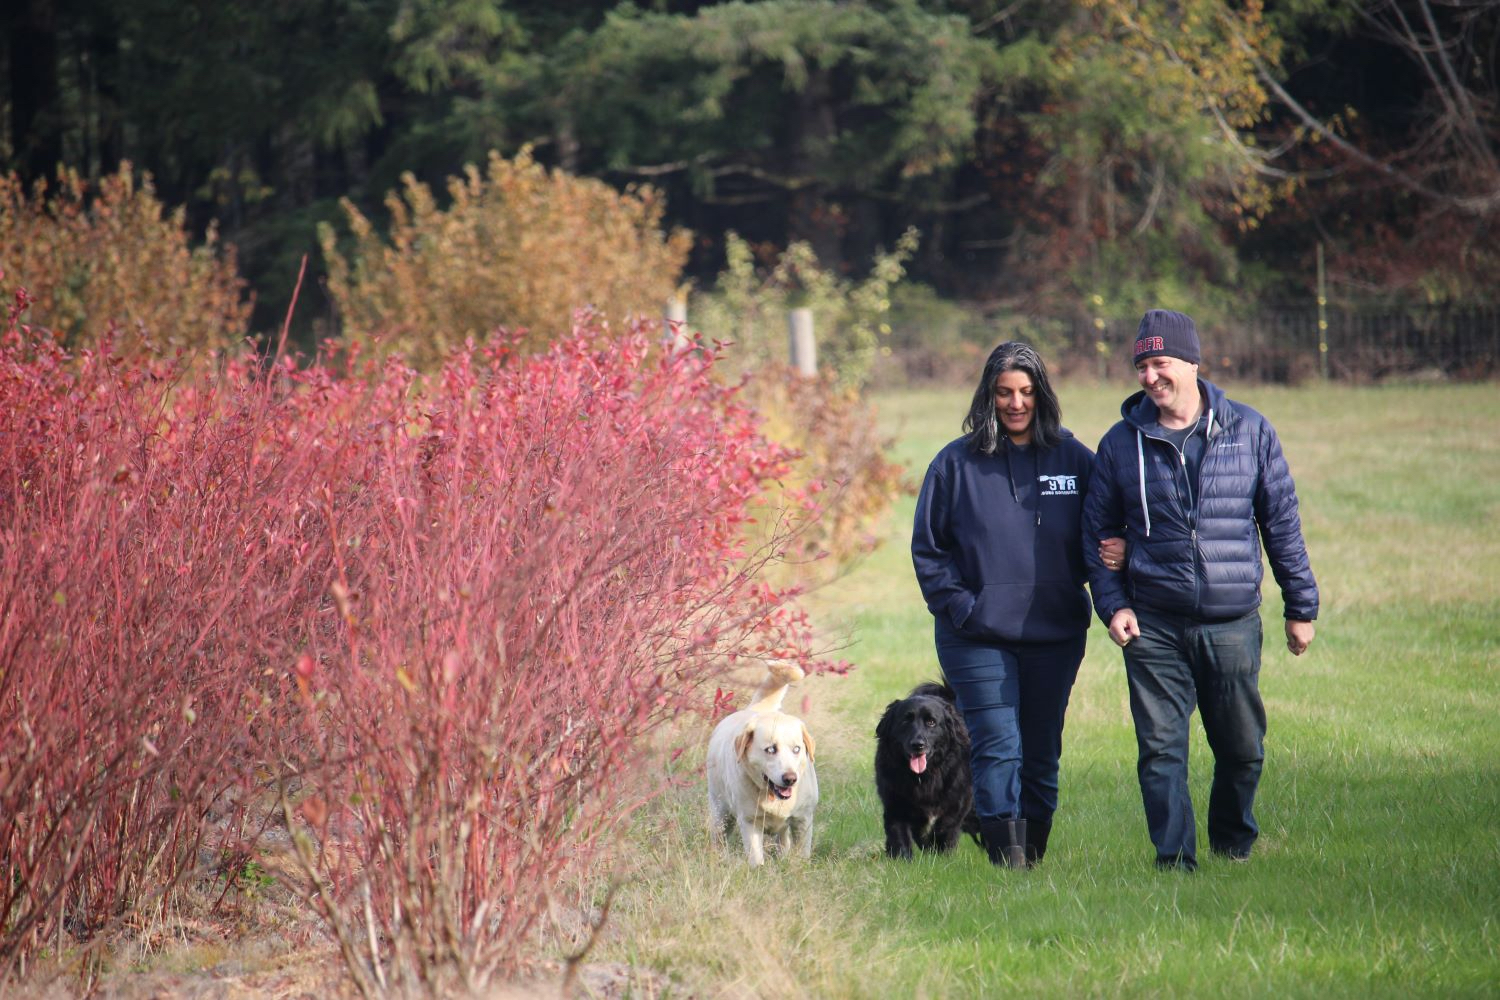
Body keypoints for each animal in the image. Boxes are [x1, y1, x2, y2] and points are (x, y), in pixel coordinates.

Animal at [705, 659, 822, 863]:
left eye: (797, 749)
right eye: (771, 749)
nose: (790, 779)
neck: (771, 796)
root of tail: (756, 709)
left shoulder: (803, 819)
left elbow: (801, 852)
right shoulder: (749, 821)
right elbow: (756, 857)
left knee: (783, 840)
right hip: (720, 809)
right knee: (719, 836)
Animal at [876, 680, 978, 863]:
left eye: (931, 722)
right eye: (905, 721)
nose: (918, 745)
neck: (925, 775)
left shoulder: (957, 803)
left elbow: (946, 830)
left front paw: (941, 858)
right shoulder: (895, 803)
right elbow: (899, 834)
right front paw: (902, 860)